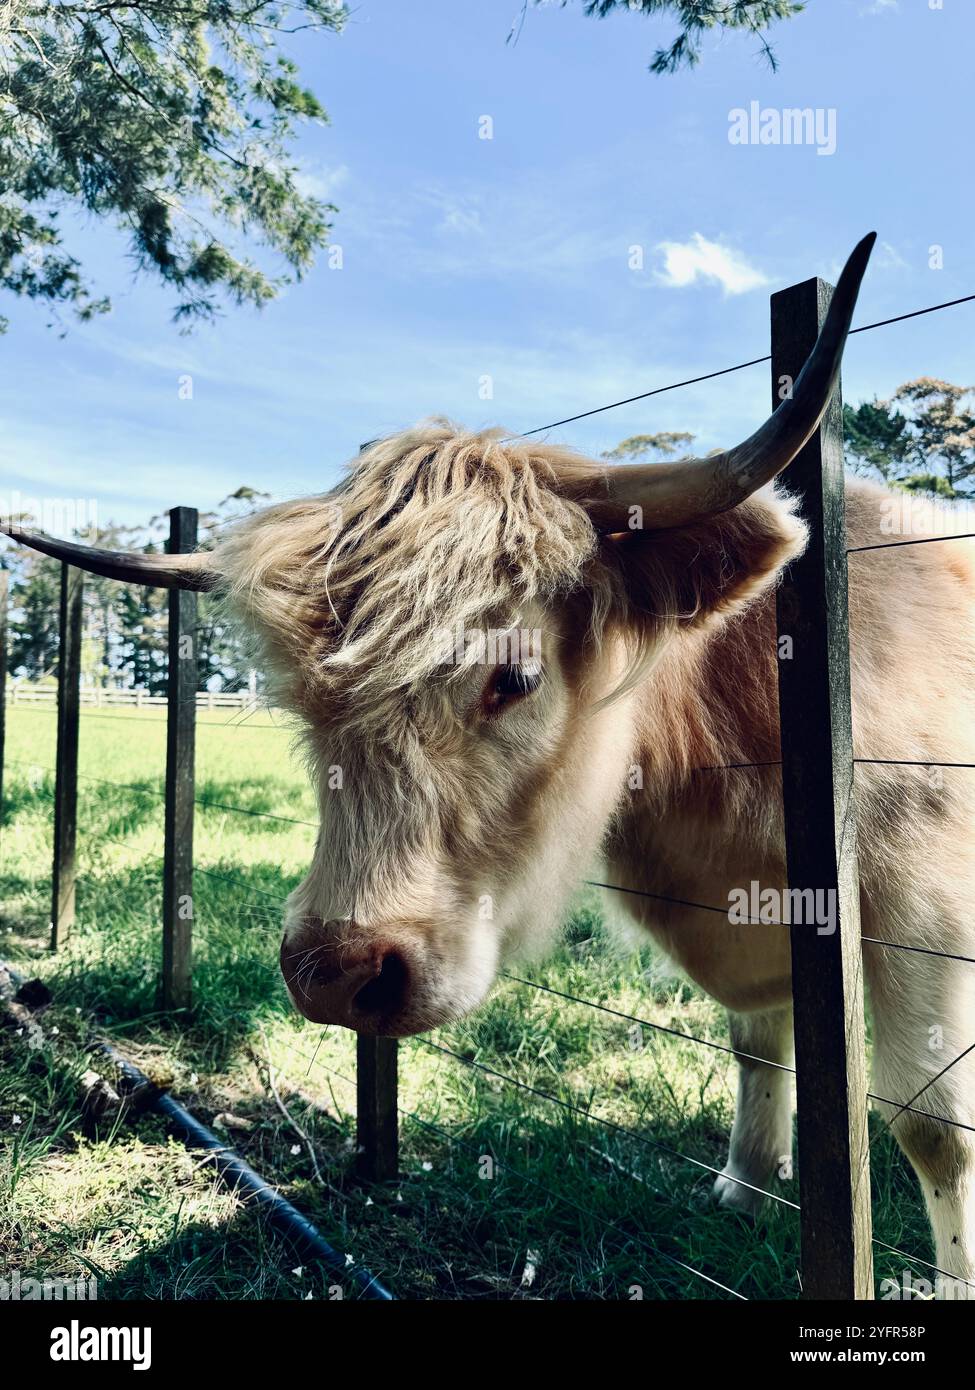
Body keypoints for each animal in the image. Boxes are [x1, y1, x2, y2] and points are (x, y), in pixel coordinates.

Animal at [10, 234, 975, 1296]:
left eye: (513, 674)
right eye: (304, 700)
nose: (333, 974)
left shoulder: (919, 904)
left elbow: (931, 1126)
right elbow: (759, 1046)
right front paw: (746, 1187)